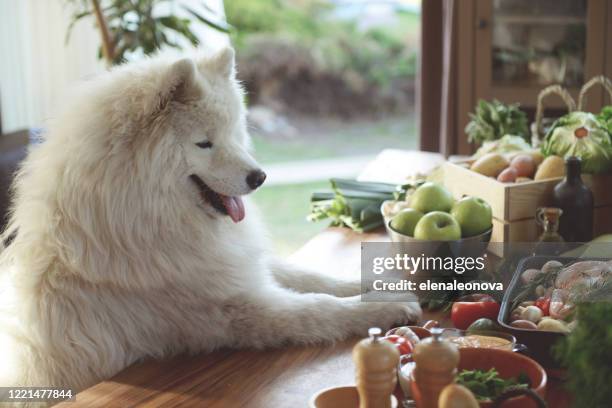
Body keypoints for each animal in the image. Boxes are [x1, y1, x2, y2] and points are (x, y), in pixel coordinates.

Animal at [0, 46, 420, 394]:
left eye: (234, 132)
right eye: (204, 143)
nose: (259, 177)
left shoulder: (230, 264)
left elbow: (315, 277)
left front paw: (377, 284)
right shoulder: (237, 308)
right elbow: (320, 307)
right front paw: (388, 308)